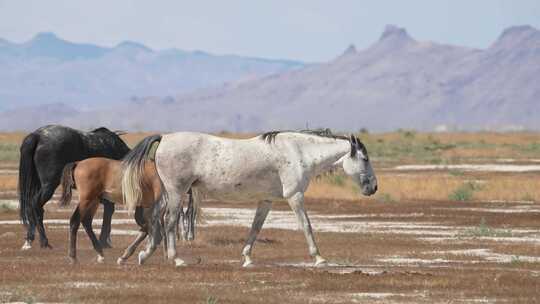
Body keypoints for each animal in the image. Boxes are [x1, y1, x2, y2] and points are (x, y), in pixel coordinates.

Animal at [123, 129, 378, 268]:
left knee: (155, 220)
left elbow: (255, 229)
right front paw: (319, 258)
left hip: (168, 194)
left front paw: (247, 258)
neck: (299, 152)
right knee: (169, 222)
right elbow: (306, 226)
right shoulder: (294, 196)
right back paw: (175, 259)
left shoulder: (266, 201)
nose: (373, 187)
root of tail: (164, 138)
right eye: (365, 159)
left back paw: (143, 255)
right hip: (176, 192)